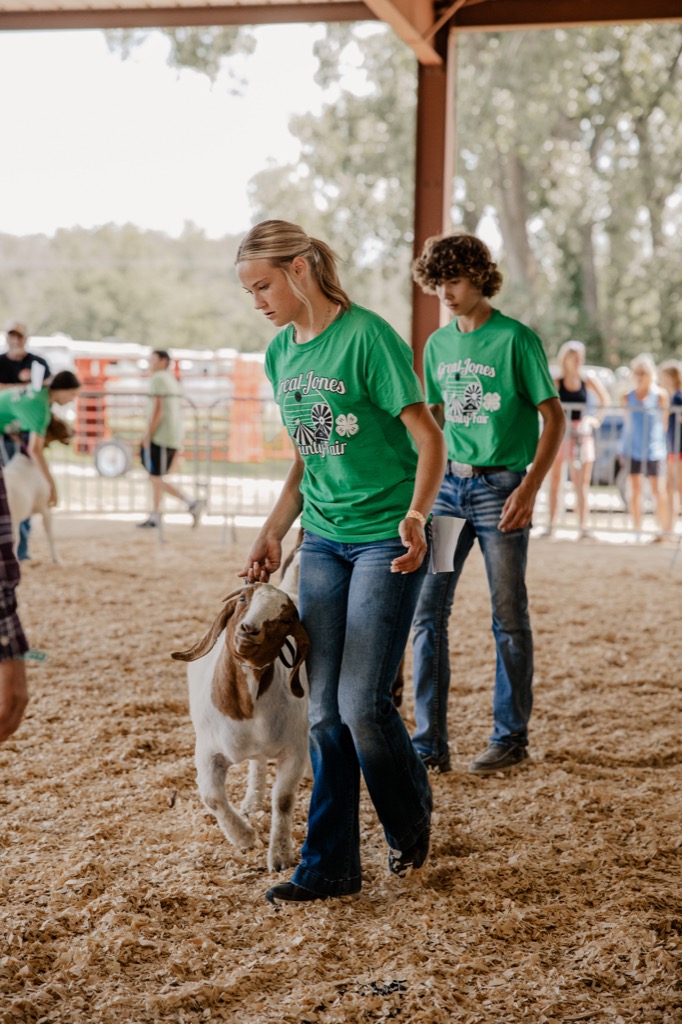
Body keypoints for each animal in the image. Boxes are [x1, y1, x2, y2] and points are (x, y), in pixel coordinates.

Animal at [172, 582, 310, 872]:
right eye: (243, 600)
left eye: (285, 619)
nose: (249, 629)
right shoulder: (208, 751)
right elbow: (212, 797)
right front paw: (244, 837)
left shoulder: (294, 750)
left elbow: (283, 800)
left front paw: (280, 856)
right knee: (257, 762)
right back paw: (252, 801)